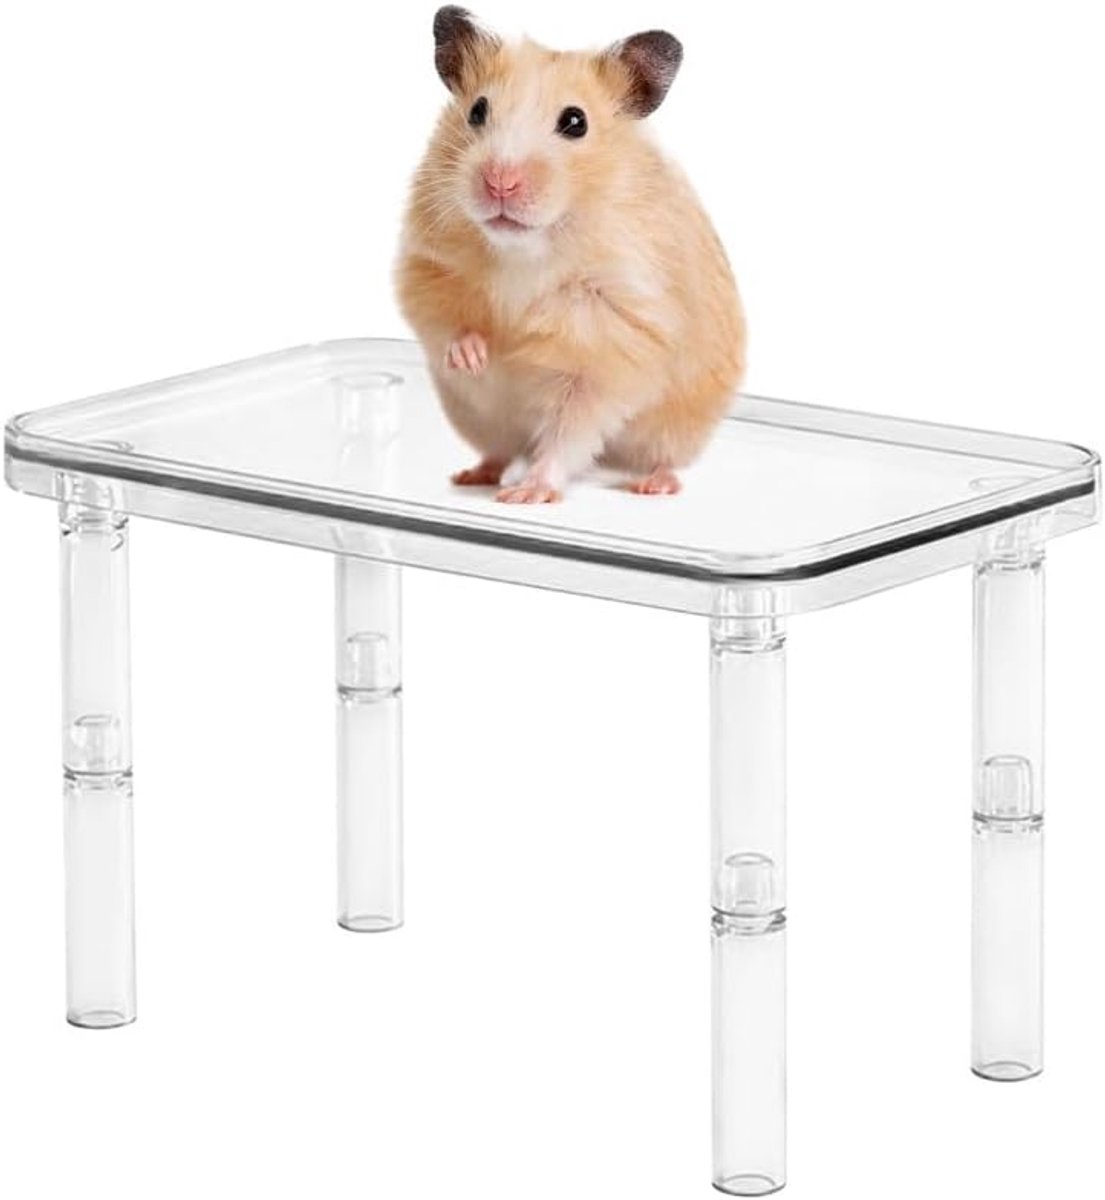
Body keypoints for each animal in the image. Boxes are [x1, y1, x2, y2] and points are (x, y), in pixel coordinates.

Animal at [395, 7, 745, 503]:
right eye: (477, 110)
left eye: (575, 122)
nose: (500, 182)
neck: (525, 248)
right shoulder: (426, 266)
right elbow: (447, 321)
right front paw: (476, 356)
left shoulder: (611, 343)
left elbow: (569, 430)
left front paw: (529, 494)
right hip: (478, 420)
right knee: (500, 451)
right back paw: (471, 475)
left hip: (679, 425)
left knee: (660, 457)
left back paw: (652, 485)